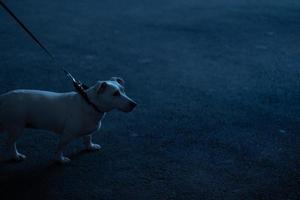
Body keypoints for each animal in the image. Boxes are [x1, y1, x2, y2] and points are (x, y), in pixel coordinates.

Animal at [0, 77, 137, 163]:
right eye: (115, 94)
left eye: (123, 90)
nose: (134, 104)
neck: (89, 103)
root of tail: (4, 97)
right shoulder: (67, 135)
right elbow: (60, 148)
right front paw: (60, 160)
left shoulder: (88, 130)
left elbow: (88, 138)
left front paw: (90, 146)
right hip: (16, 127)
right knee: (10, 143)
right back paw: (15, 156)